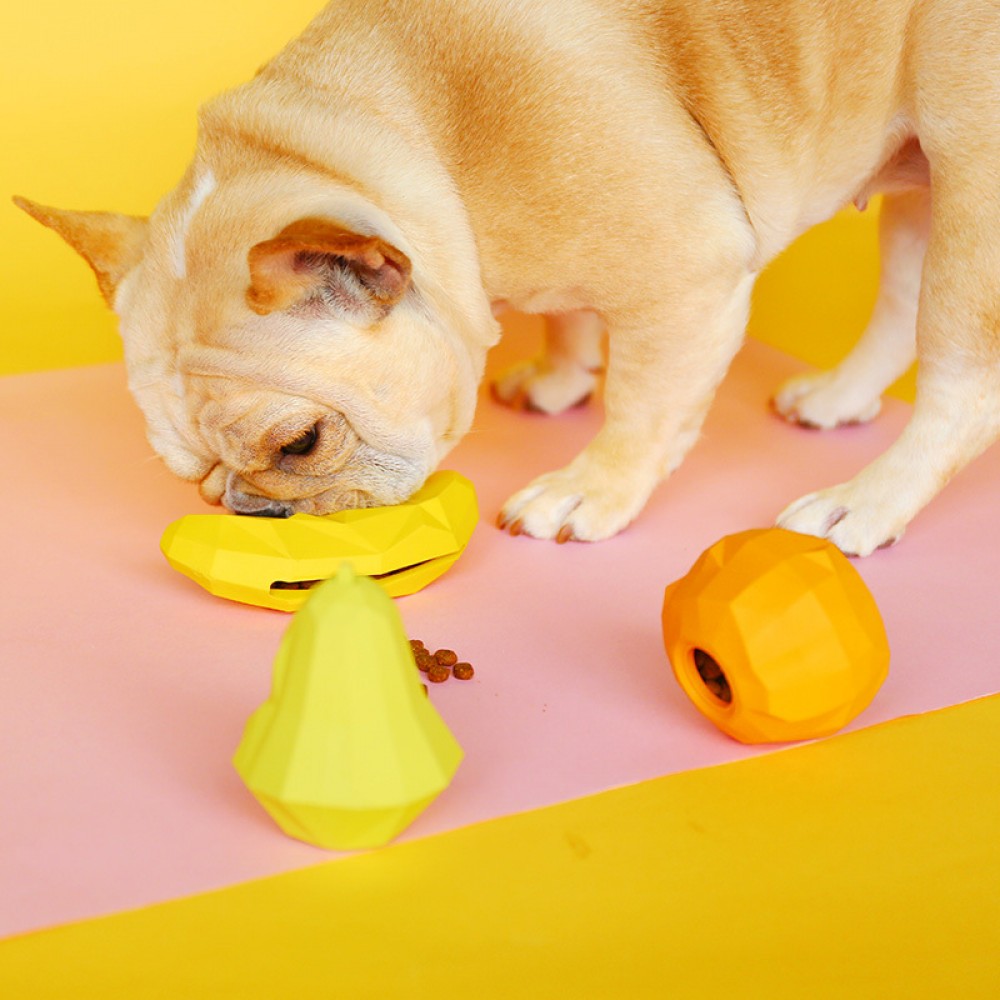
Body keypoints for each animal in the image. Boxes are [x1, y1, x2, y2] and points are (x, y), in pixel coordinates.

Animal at [16, 0, 1000, 555]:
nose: (252, 511)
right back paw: (841, 395)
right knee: (901, 296)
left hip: (974, 181)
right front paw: (563, 373)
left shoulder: (688, 274)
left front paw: (589, 489)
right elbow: (568, 311)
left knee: (961, 387)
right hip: (919, 173)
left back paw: (865, 501)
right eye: (190, 478)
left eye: (300, 444)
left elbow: (643, 404)